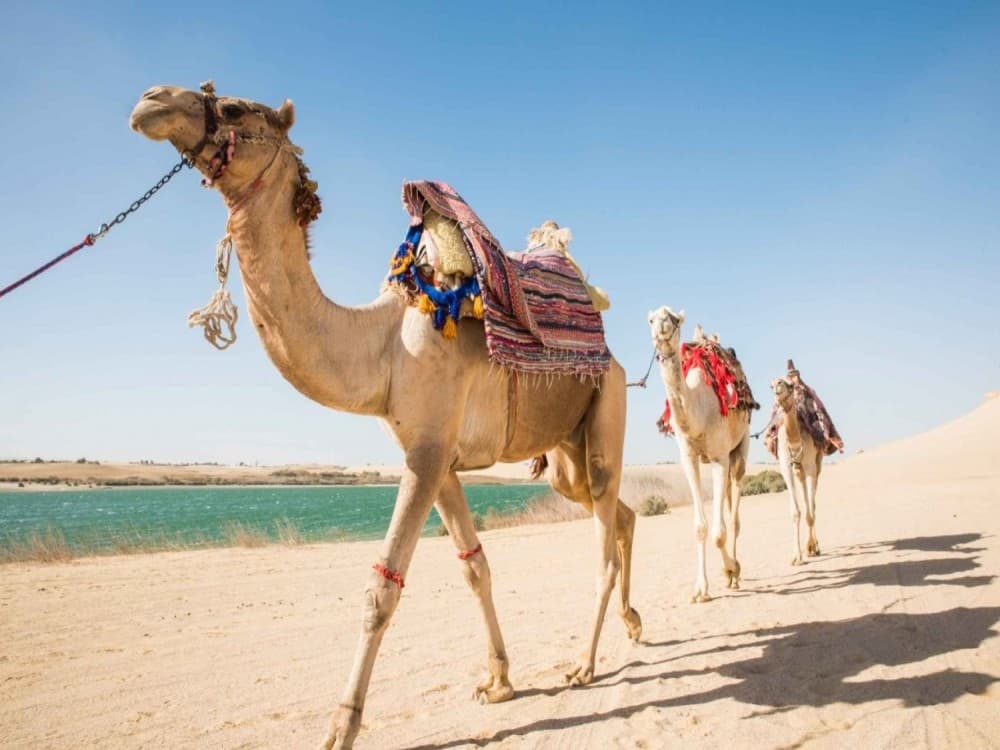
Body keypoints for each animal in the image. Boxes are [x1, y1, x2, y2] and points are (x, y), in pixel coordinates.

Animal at [129, 82, 641, 750]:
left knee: (604, 536)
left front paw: (339, 728)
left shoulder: (425, 454)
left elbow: (380, 590)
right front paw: (499, 682)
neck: (383, 345)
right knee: (619, 513)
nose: (150, 100)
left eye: (236, 108)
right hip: (563, 453)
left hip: (607, 404)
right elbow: (475, 568)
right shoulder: (437, 458)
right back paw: (634, 623)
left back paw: (584, 664)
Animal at [648, 307, 752, 602]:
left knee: (735, 516)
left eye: (673, 318)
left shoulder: (720, 457)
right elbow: (701, 527)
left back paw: (736, 573)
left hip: (740, 449)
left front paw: (731, 569)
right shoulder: (689, 458)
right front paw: (700, 589)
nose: (662, 325)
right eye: (651, 319)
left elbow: (719, 532)